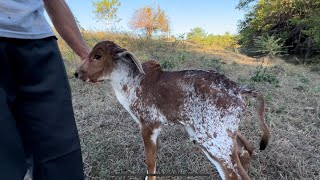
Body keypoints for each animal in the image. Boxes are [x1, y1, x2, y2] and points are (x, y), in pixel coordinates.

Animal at [75, 41, 270, 180]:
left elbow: (150, 163)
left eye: (98, 56)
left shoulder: (149, 125)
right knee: (248, 149)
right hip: (221, 134)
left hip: (213, 141)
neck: (131, 81)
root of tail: (239, 89)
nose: (77, 73)